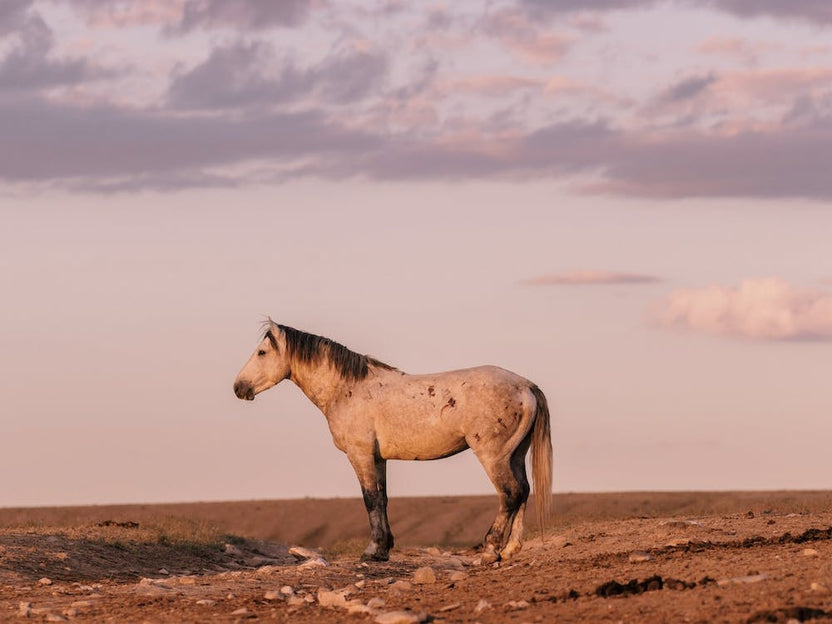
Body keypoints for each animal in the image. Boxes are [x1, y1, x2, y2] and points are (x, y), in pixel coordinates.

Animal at [233, 319, 552, 563]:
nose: (239, 387)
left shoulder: (360, 455)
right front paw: (384, 549)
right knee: (523, 491)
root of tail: (525, 386)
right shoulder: (378, 458)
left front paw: (372, 550)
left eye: (262, 352)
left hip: (492, 455)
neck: (346, 389)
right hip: (514, 455)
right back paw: (510, 549)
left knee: (510, 494)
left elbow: (370, 499)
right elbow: (382, 499)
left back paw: (490, 549)